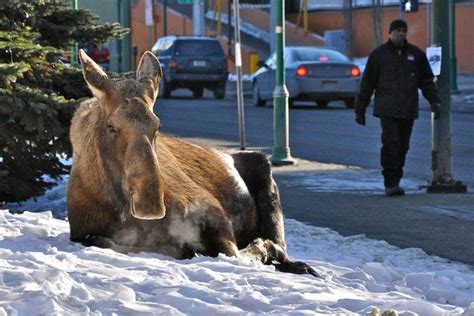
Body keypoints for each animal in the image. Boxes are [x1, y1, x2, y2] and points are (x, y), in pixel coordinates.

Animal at [65, 48, 318, 276]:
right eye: (111, 126)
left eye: (158, 126)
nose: (149, 203)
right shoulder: (81, 232)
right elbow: (100, 240)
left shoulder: (213, 213)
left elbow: (233, 252)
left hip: (264, 173)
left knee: (280, 247)